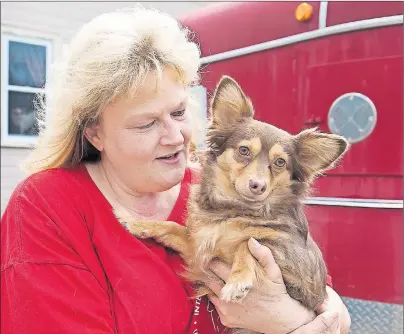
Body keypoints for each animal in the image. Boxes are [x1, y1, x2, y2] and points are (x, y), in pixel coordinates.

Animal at [115, 76, 348, 316]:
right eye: (244, 150)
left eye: (280, 163)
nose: (258, 185)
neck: (232, 209)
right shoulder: (198, 248)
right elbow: (172, 227)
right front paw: (137, 223)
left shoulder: (291, 265)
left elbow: (247, 243)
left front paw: (238, 281)